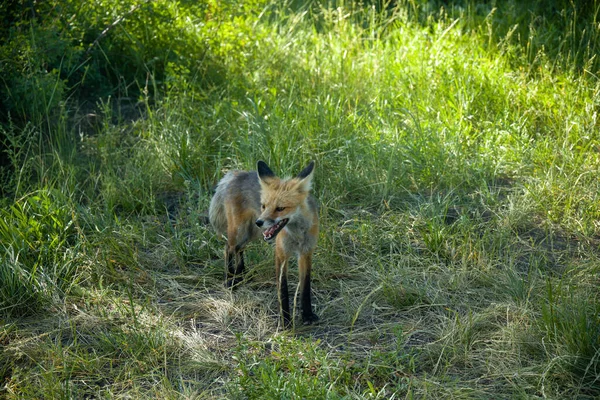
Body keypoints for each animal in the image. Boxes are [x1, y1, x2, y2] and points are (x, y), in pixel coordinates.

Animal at [209, 160, 318, 328]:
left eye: (280, 208)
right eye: (264, 206)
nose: (259, 221)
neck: (297, 235)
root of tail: (235, 174)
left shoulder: (306, 252)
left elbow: (305, 287)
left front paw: (307, 315)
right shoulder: (280, 254)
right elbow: (283, 290)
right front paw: (285, 321)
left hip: (250, 234)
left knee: (239, 249)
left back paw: (241, 273)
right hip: (239, 231)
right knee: (228, 249)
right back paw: (230, 279)